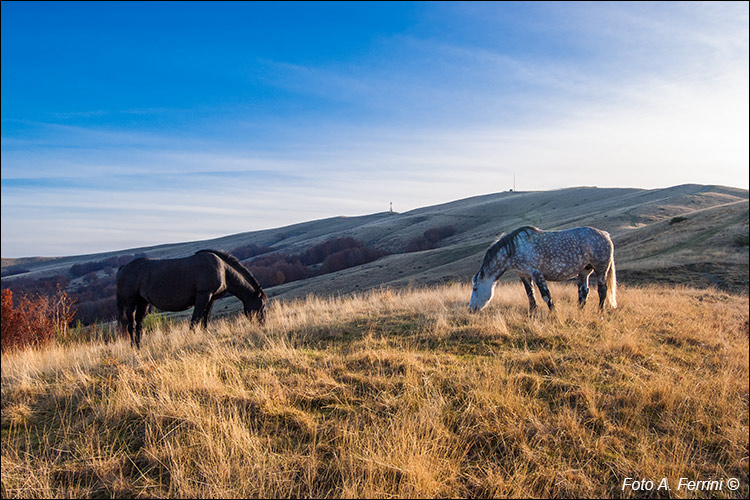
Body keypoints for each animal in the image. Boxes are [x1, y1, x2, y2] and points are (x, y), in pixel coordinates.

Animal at [116, 249, 268, 348]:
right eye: (262, 306)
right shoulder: (203, 296)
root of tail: (123, 267)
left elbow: (205, 319)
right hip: (130, 304)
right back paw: (133, 347)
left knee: (139, 324)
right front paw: (190, 339)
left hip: (143, 303)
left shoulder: (211, 299)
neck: (223, 269)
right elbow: (195, 320)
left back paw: (139, 346)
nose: (262, 325)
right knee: (131, 325)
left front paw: (205, 335)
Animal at [470, 227, 616, 312]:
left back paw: (600, 312)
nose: (471, 309)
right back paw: (579, 312)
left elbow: (546, 295)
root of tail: (605, 234)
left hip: (601, 270)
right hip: (584, 271)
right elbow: (530, 296)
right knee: (583, 292)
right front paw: (532, 314)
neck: (513, 249)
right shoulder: (524, 275)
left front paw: (554, 315)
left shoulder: (536, 274)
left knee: (602, 290)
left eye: (475, 288)